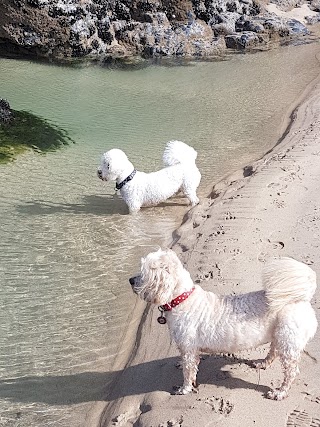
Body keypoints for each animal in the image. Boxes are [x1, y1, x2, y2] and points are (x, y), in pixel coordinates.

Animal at [128, 251, 318, 402]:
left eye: (144, 272)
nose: (130, 280)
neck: (182, 299)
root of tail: (301, 299)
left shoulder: (189, 348)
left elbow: (188, 371)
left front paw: (184, 389)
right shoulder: (188, 349)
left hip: (289, 341)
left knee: (291, 371)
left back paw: (279, 392)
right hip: (279, 336)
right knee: (274, 351)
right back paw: (262, 363)